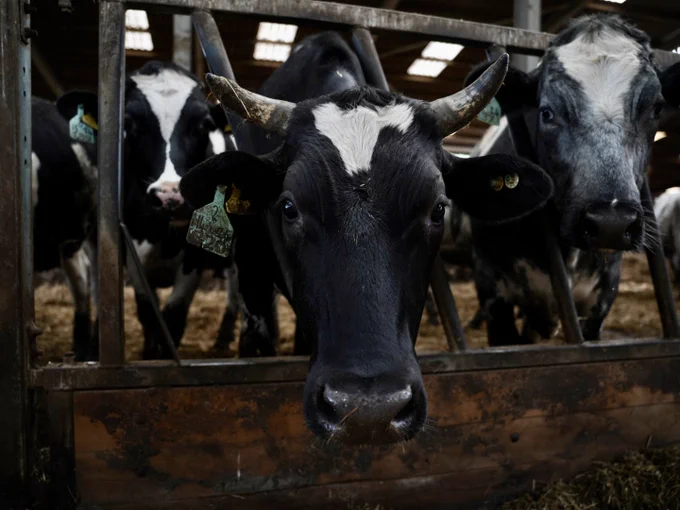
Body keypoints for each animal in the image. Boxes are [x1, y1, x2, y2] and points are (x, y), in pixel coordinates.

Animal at [57, 61, 240, 359]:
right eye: (129, 123)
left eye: (204, 125)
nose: (170, 195)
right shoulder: (131, 248)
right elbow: (147, 311)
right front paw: (148, 353)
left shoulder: (195, 253)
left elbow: (174, 314)